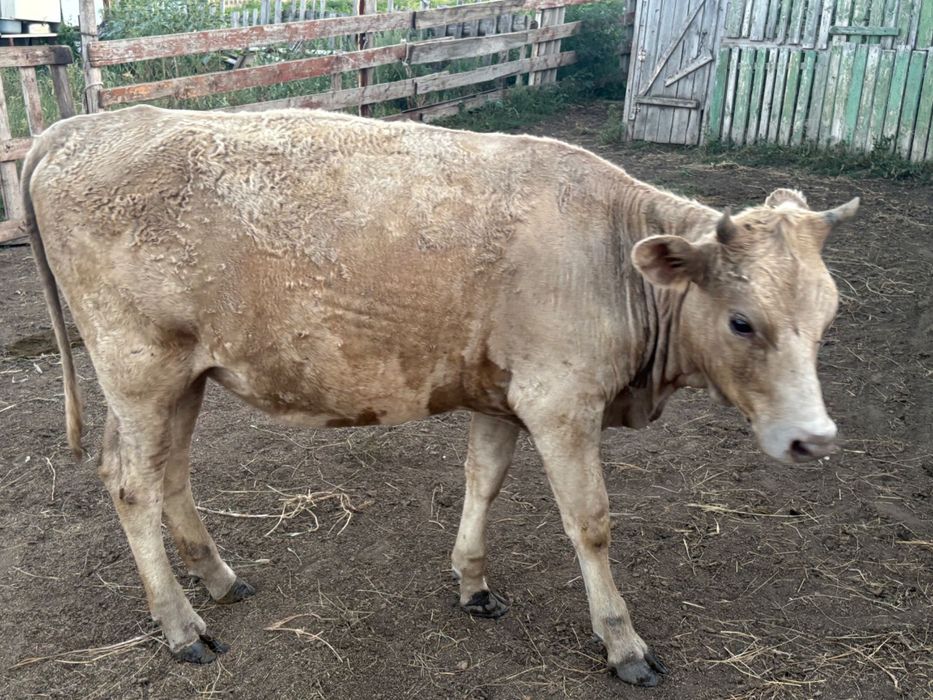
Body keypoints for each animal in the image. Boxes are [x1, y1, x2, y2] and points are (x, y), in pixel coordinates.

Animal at [23, 105, 857, 687]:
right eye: (742, 320)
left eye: (828, 312)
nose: (813, 438)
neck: (607, 254)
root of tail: (80, 126)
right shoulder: (560, 402)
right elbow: (589, 524)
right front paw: (621, 641)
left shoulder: (502, 397)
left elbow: (482, 482)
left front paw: (472, 582)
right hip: (139, 369)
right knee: (132, 484)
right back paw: (180, 625)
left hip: (184, 378)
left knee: (171, 472)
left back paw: (220, 580)